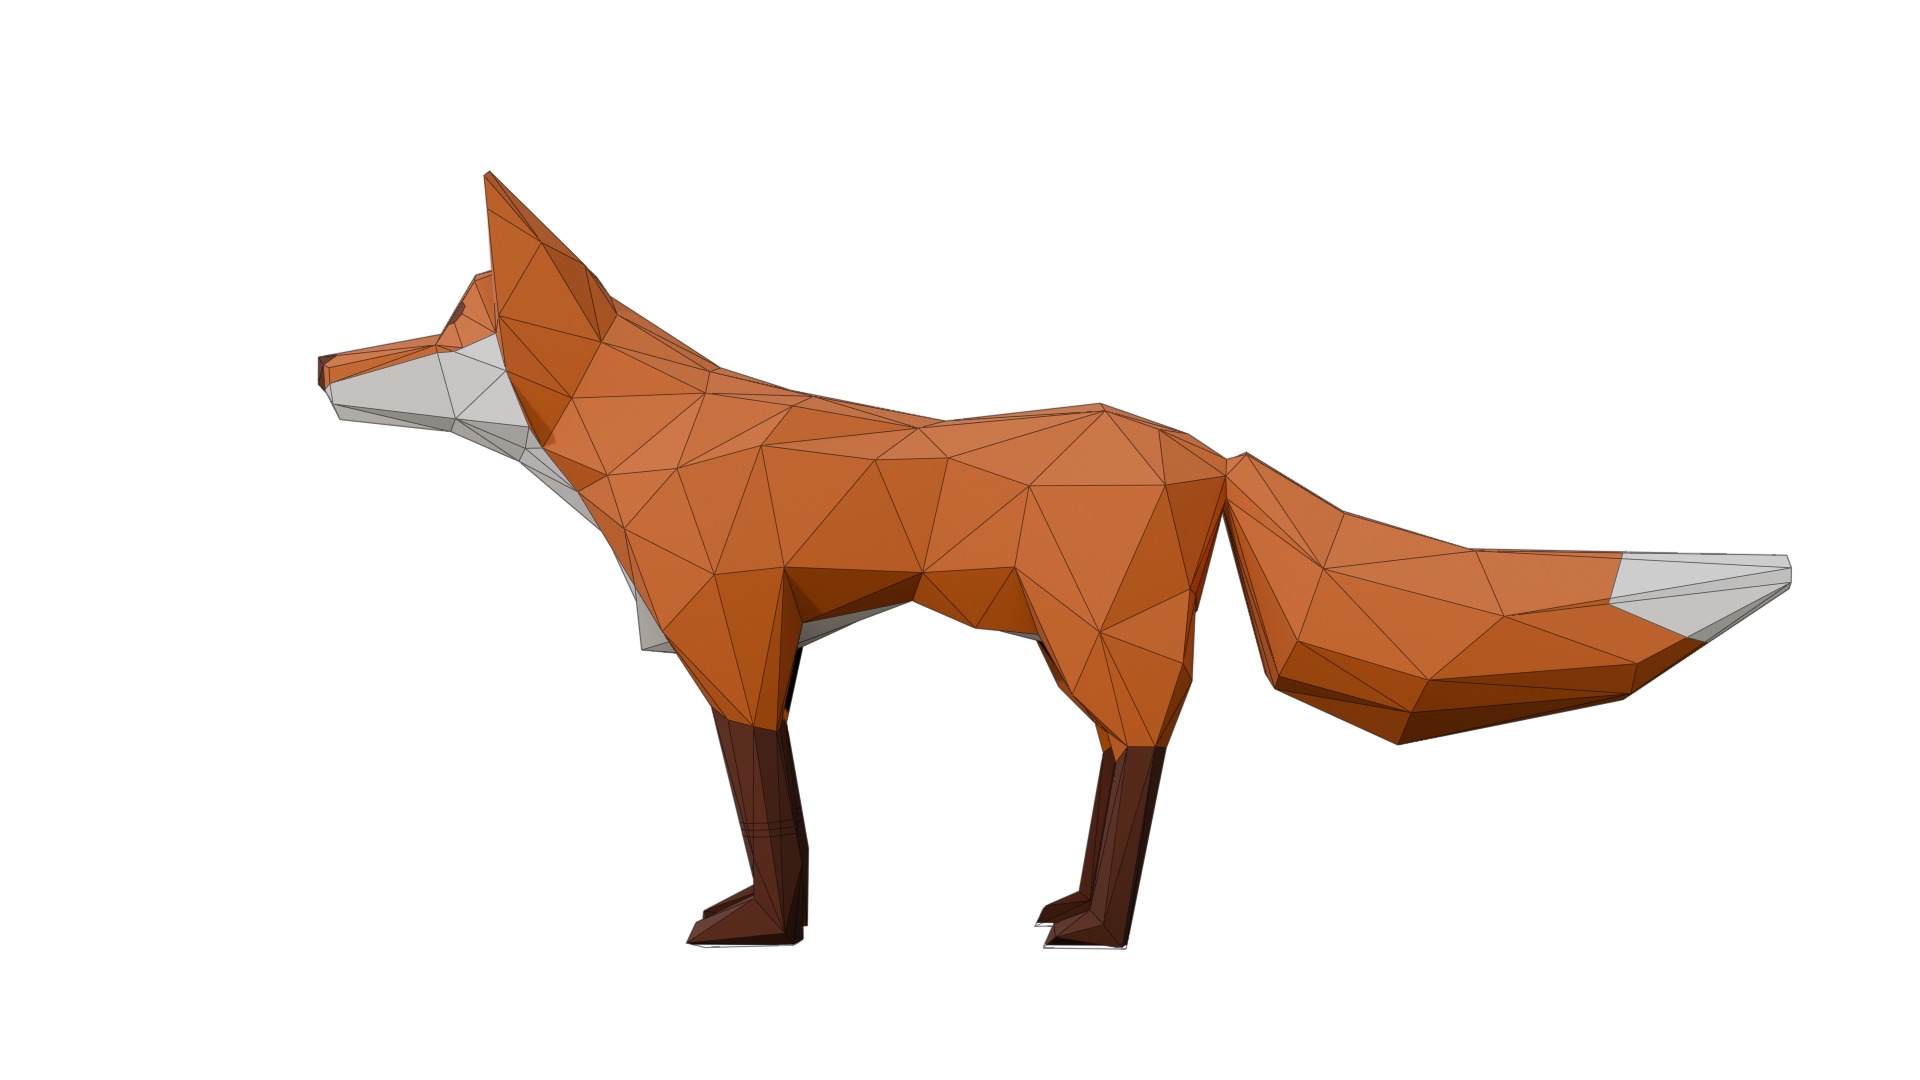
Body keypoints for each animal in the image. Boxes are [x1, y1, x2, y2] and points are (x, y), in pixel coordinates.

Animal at [320, 174, 1791, 948]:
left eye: (444, 323)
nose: (322, 361)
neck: (650, 435)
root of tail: (1209, 452)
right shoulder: (766, 643)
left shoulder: (734, 644)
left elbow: (770, 815)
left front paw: (767, 930)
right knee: (1131, 754)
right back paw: (1080, 901)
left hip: (1089, 638)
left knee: (1143, 747)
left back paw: (1102, 926)